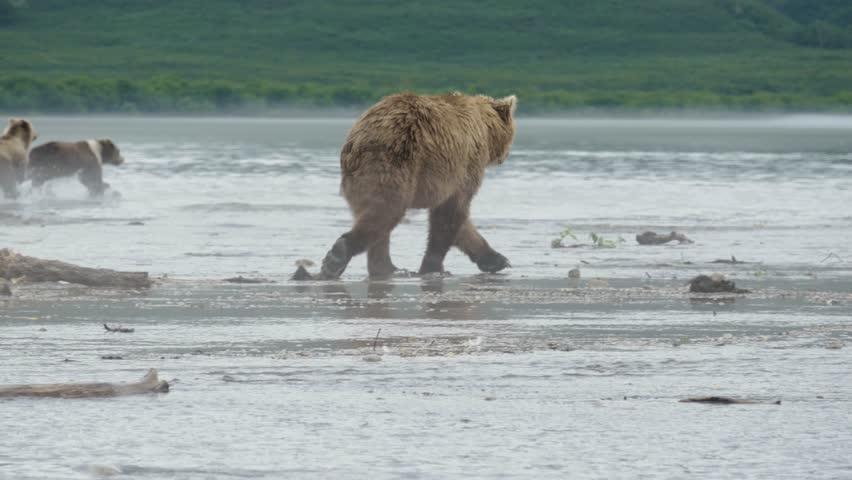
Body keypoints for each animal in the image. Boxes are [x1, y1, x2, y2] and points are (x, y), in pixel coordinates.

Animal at [316, 91, 517, 279]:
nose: (506, 155)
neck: (485, 129)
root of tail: (360, 138)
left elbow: (459, 222)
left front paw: (497, 260)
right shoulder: (465, 167)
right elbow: (451, 214)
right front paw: (433, 268)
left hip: (359, 174)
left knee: (373, 218)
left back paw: (388, 268)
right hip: (396, 163)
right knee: (385, 211)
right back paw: (339, 257)